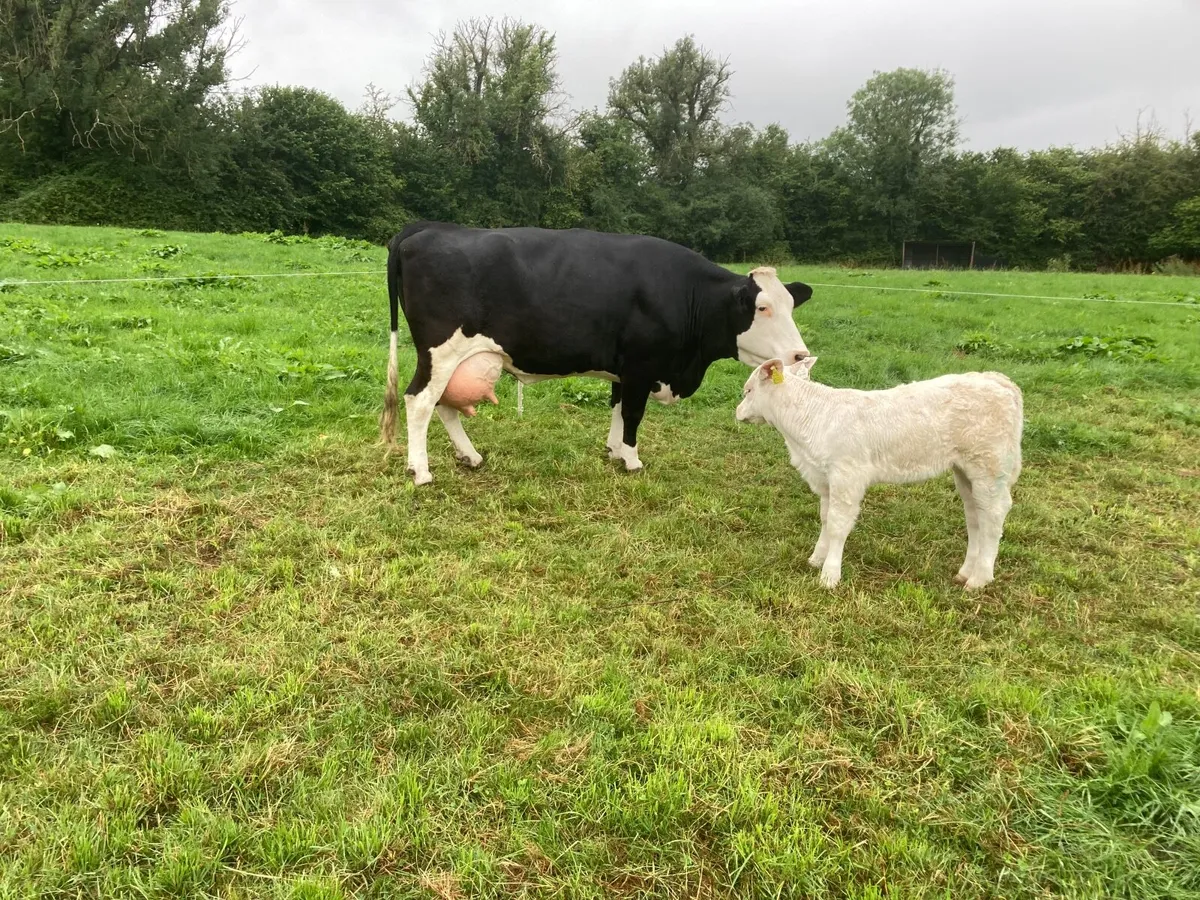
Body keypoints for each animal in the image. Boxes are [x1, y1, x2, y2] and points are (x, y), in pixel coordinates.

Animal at [380, 222, 814, 486]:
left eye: (793, 305)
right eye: (762, 308)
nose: (798, 355)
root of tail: (430, 227)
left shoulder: (625, 369)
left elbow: (618, 408)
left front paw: (614, 450)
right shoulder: (642, 365)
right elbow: (634, 413)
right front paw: (633, 460)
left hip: (452, 359)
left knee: (443, 405)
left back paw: (468, 456)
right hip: (441, 351)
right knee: (419, 401)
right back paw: (421, 471)